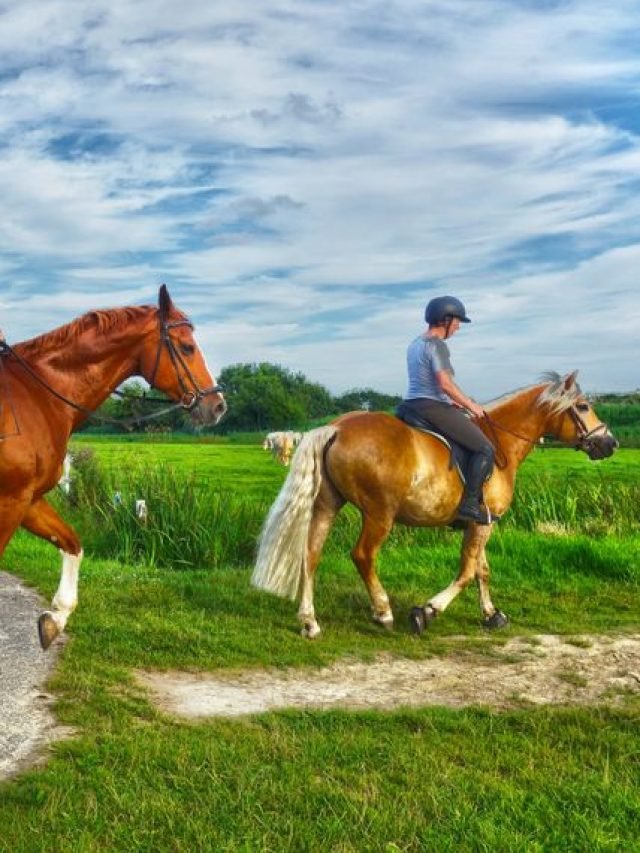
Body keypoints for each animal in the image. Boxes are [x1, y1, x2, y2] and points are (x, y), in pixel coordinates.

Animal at [0, 282, 226, 648]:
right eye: (187, 347)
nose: (218, 405)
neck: (36, 396)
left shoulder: (29, 499)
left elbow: (73, 543)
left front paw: (55, 618)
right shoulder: (11, 500)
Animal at [252, 370, 616, 636]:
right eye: (583, 406)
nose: (610, 443)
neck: (500, 443)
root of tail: (336, 428)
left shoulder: (480, 521)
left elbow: (482, 570)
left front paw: (491, 614)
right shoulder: (483, 523)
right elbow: (467, 572)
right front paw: (426, 611)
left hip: (328, 505)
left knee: (310, 555)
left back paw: (310, 622)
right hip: (379, 513)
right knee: (363, 555)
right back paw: (383, 612)